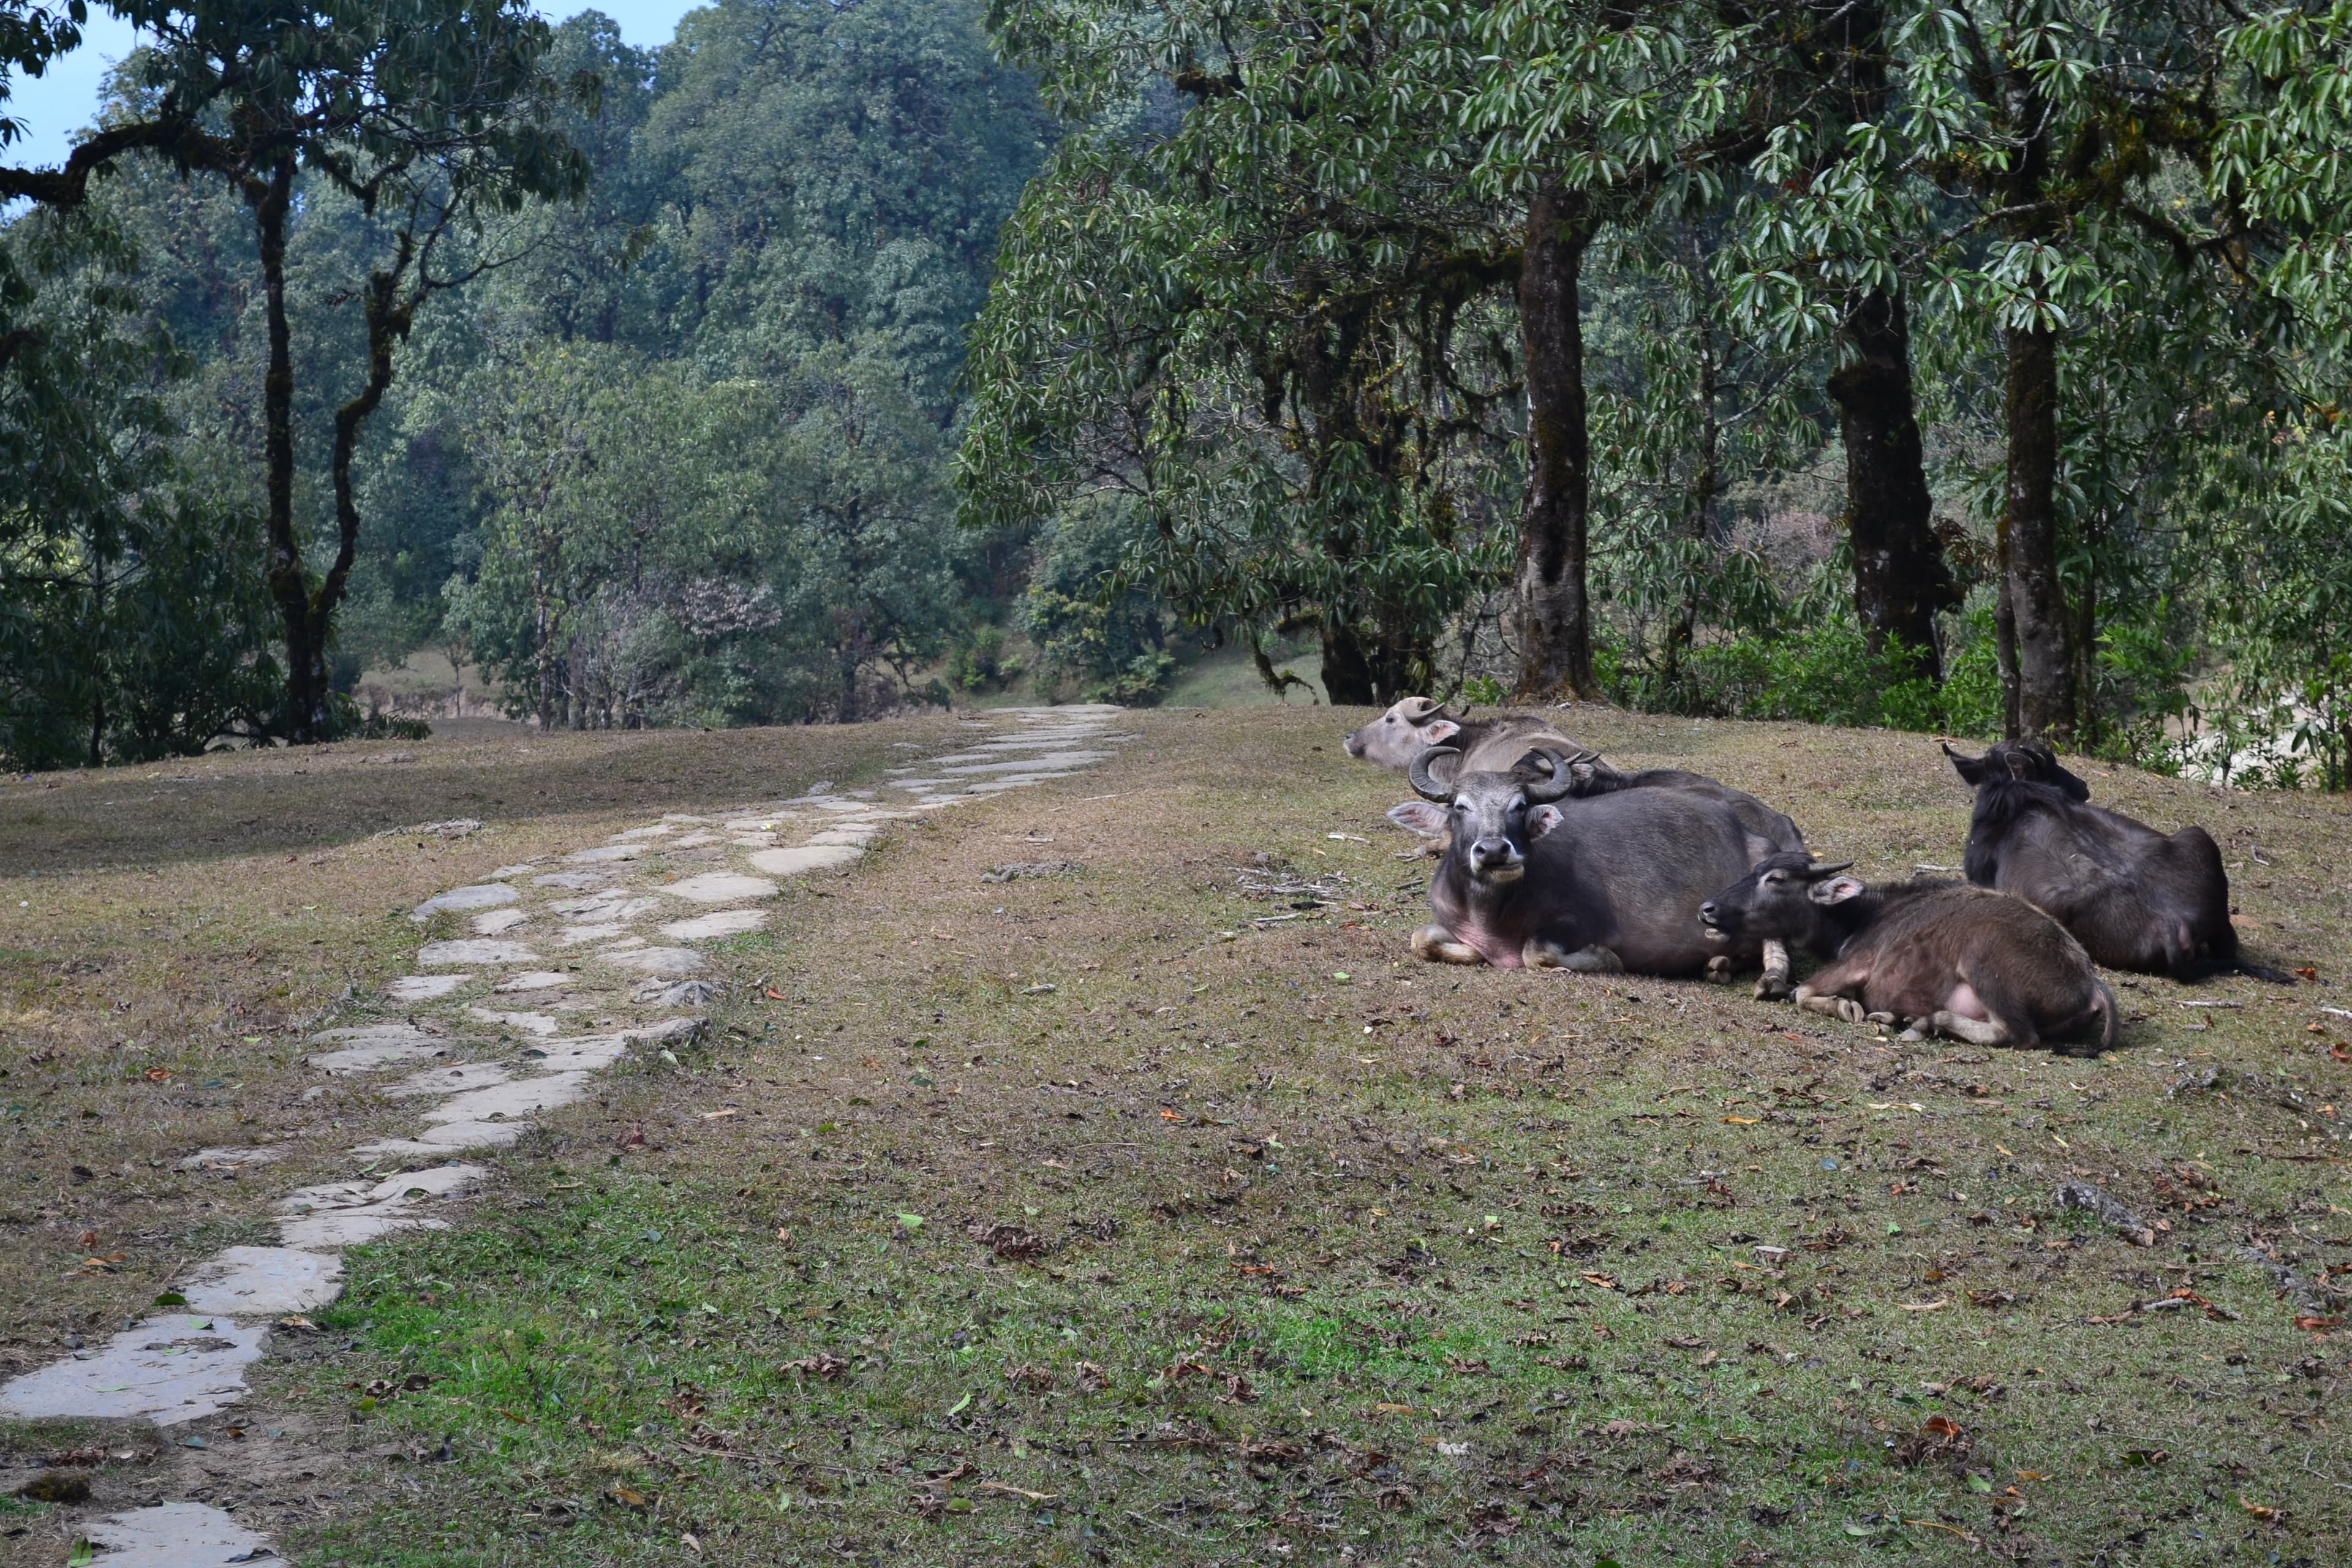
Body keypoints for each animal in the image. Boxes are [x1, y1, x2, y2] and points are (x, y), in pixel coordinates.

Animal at [1373, 752, 1778, 992]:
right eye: (1460, 807)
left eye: (1519, 806)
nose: (1494, 851)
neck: (1491, 909)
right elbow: (1421, 938)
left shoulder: (1588, 922)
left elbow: (1536, 951)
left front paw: (1606, 960)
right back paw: (1718, 964)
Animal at [1703, 851, 2126, 1062]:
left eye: (1776, 878)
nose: (1708, 909)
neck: (1863, 916)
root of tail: (2091, 983)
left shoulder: (1859, 964)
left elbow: (1802, 992)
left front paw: (1846, 1007)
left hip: (1984, 963)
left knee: (2019, 1034)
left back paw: (1924, 1024)